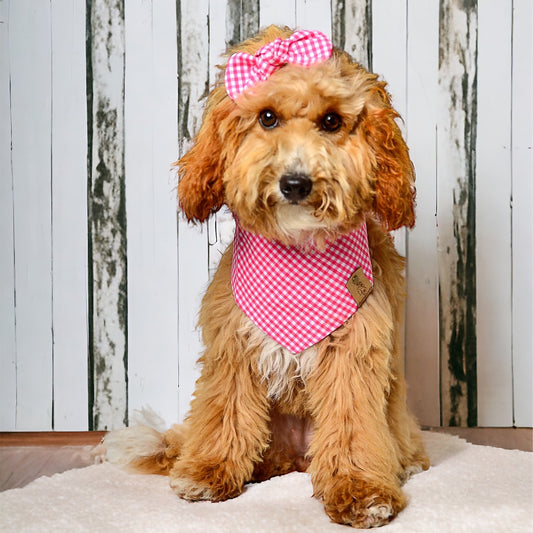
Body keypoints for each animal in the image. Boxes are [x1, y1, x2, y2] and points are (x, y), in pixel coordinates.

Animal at [106, 26, 430, 528]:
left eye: (332, 121)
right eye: (268, 118)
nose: (295, 183)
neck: (297, 253)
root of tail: (295, 457)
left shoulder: (353, 353)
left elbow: (352, 424)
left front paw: (361, 490)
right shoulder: (232, 347)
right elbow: (224, 411)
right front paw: (209, 471)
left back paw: (402, 463)